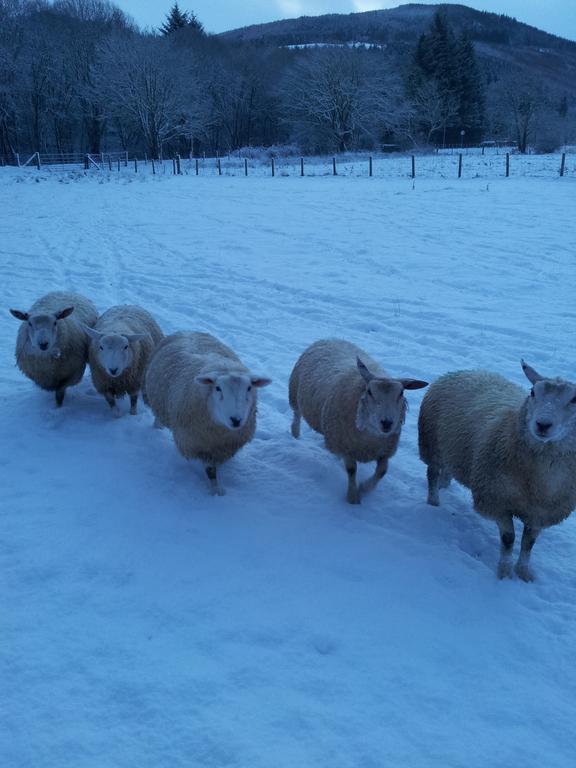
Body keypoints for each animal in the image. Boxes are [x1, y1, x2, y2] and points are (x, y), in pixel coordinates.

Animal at [143, 332, 272, 496]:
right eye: (218, 388)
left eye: (249, 388)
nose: (236, 420)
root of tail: (186, 331)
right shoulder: (199, 444)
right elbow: (210, 470)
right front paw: (215, 489)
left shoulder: (223, 446)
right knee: (158, 417)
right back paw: (157, 428)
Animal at [288, 340, 428, 504]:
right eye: (369, 391)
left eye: (401, 393)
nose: (387, 423)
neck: (370, 437)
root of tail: (330, 339)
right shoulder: (346, 446)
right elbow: (351, 470)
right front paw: (353, 496)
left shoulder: (384, 451)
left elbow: (382, 472)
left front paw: (364, 488)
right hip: (294, 394)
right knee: (297, 415)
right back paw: (295, 434)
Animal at [416, 362, 576, 584]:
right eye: (533, 392)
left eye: (574, 400)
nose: (543, 425)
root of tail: (465, 371)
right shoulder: (496, 501)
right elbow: (509, 539)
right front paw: (505, 571)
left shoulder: (540, 513)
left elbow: (528, 544)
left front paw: (524, 572)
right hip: (432, 445)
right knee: (432, 473)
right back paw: (434, 501)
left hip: (452, 447)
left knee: (447, 469)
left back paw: (444, 484)